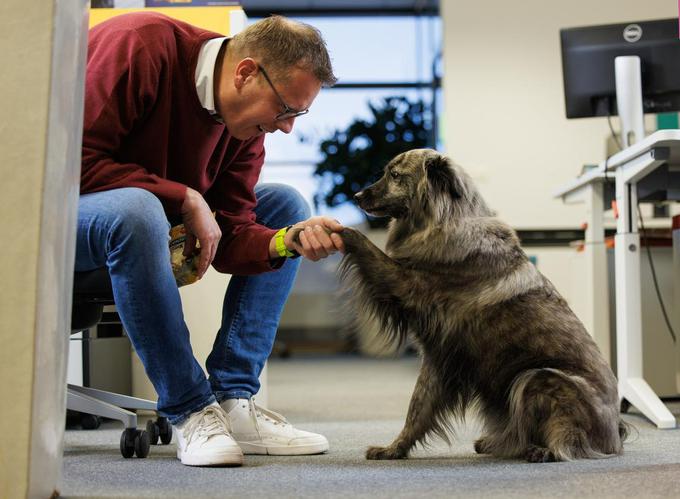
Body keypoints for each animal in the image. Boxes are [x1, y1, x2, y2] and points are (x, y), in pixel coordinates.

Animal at [340, 149, 628, 464]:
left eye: (394, 175)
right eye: (386, 172)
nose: (356, 195)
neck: (446, 219)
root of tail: (615, 435)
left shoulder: (406, 285)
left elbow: (368, 248)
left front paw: (340, 231)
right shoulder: (437, 357)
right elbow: (418, 407)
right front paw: (395, 448)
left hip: (538, 377)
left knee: (567, 439)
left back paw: (542, 450)